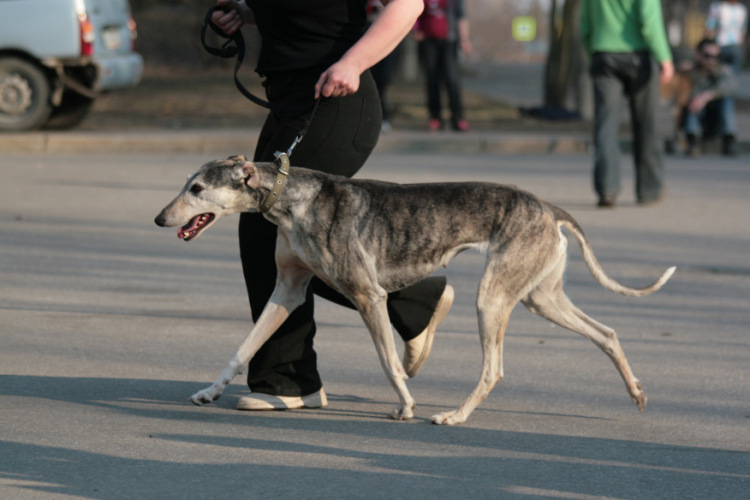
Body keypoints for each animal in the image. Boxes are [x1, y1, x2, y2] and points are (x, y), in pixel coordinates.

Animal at [156, 154, 680, 424]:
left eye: (198, 189)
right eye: (186, 183)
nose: (160, 218)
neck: (292, 197)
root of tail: (548, 208)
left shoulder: (367, 295)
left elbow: (389, 362)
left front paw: (406, 404)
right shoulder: (287, 290)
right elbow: (243, 348)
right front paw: (209, 392)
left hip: (494, 299)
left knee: (494, 369)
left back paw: (454, 415)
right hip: (540, 298)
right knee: (606, 333)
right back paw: (636, 394)